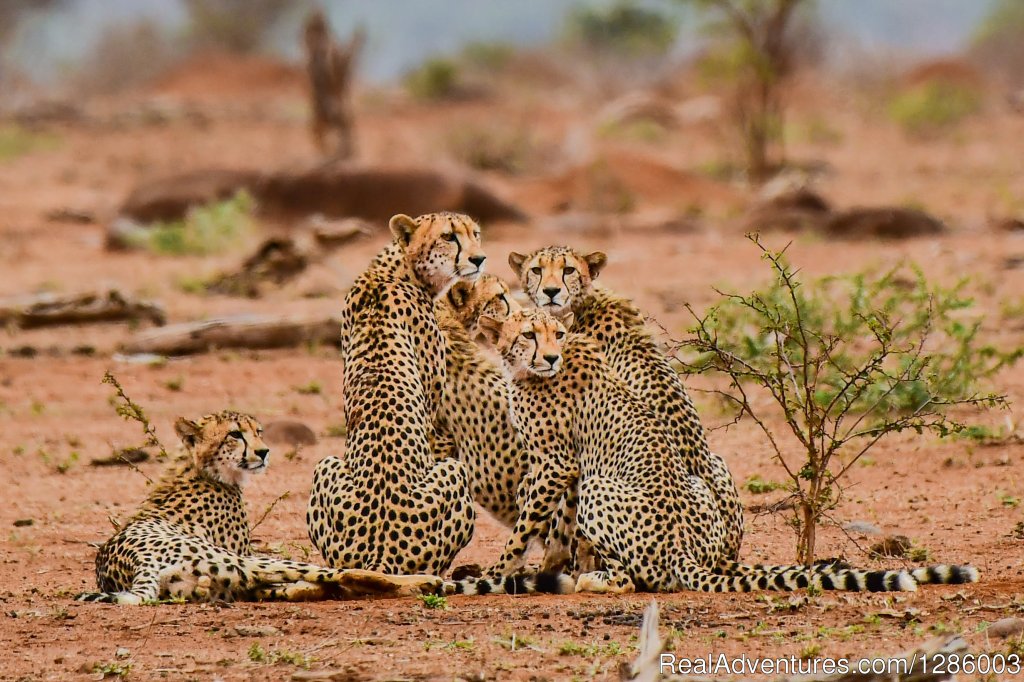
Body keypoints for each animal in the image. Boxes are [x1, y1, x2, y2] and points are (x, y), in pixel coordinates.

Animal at [72, 409, 440, 602]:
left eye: (259, 431)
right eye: (235, 434)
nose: (264, 452)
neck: (201, 469)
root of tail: (129, 563)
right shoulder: (245, 552)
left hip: (225, 577)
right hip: (243, 561)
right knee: (344, 573)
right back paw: (426, 582)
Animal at [475, 307, 978, 589]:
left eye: (556, 335)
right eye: (529, 334)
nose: (550, 356)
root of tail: (682, 551)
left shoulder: (556, 464)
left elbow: (523, 527)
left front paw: (497, 572)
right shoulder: (561, 467)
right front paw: (548, 562)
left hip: (604, 490)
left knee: (634, 579)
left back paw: (592, 579)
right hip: (697, 483)